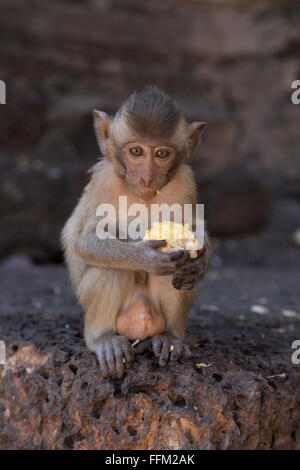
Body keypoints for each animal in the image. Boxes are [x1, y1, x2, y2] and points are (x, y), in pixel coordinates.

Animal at [61, 84, 211, 378]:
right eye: (137, 151)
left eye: (162, 154)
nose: (147, 177)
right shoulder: (104, 180)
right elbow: (84, 242)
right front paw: (146, 258)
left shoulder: (185, 181)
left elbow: (195, 228)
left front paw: (199, 263)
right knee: (109, 268)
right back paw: (103, 339)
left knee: (175, 274)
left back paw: (168, 338)